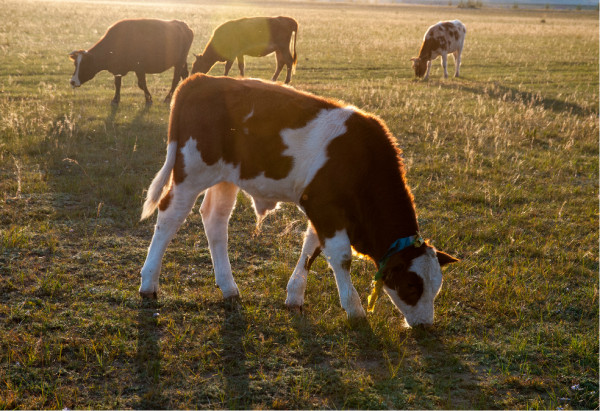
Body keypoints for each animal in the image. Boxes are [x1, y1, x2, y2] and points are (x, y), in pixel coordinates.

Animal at [139, 73, 460, 326]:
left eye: (436, 288)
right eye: (411, 285)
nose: (426, 325)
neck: (362, 159)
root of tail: (201, 80)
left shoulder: (322, 208)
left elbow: (310, 248)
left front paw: (295, 295)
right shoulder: (325, 206)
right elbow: (340, 257)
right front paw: (354, 309)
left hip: (225, 178)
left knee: (215, 221)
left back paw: (229, 287)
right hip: (191, 172)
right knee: (169, 217)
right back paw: (148, 283)